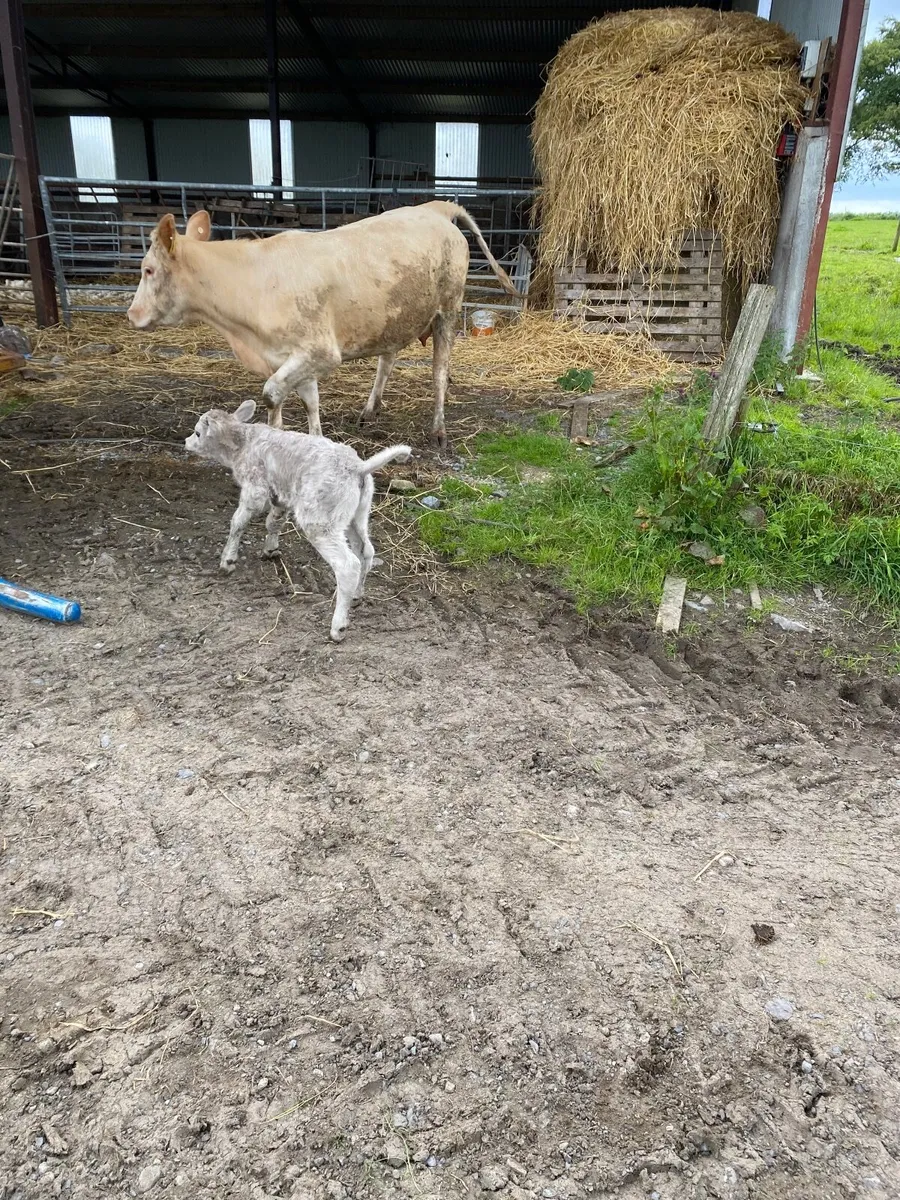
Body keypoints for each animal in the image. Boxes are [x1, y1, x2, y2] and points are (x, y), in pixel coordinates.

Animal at [127, 201, 519, 447]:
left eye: (148, 270)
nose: (132, 314)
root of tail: (436, 208)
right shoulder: (291, 356)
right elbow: (307, 402)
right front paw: (310, 442)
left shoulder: (320, 351)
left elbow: (272, 393)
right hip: (396, 314)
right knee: (388, 357)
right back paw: (370, 409)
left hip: (448, 309)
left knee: (439, 372)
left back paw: (438, 431)